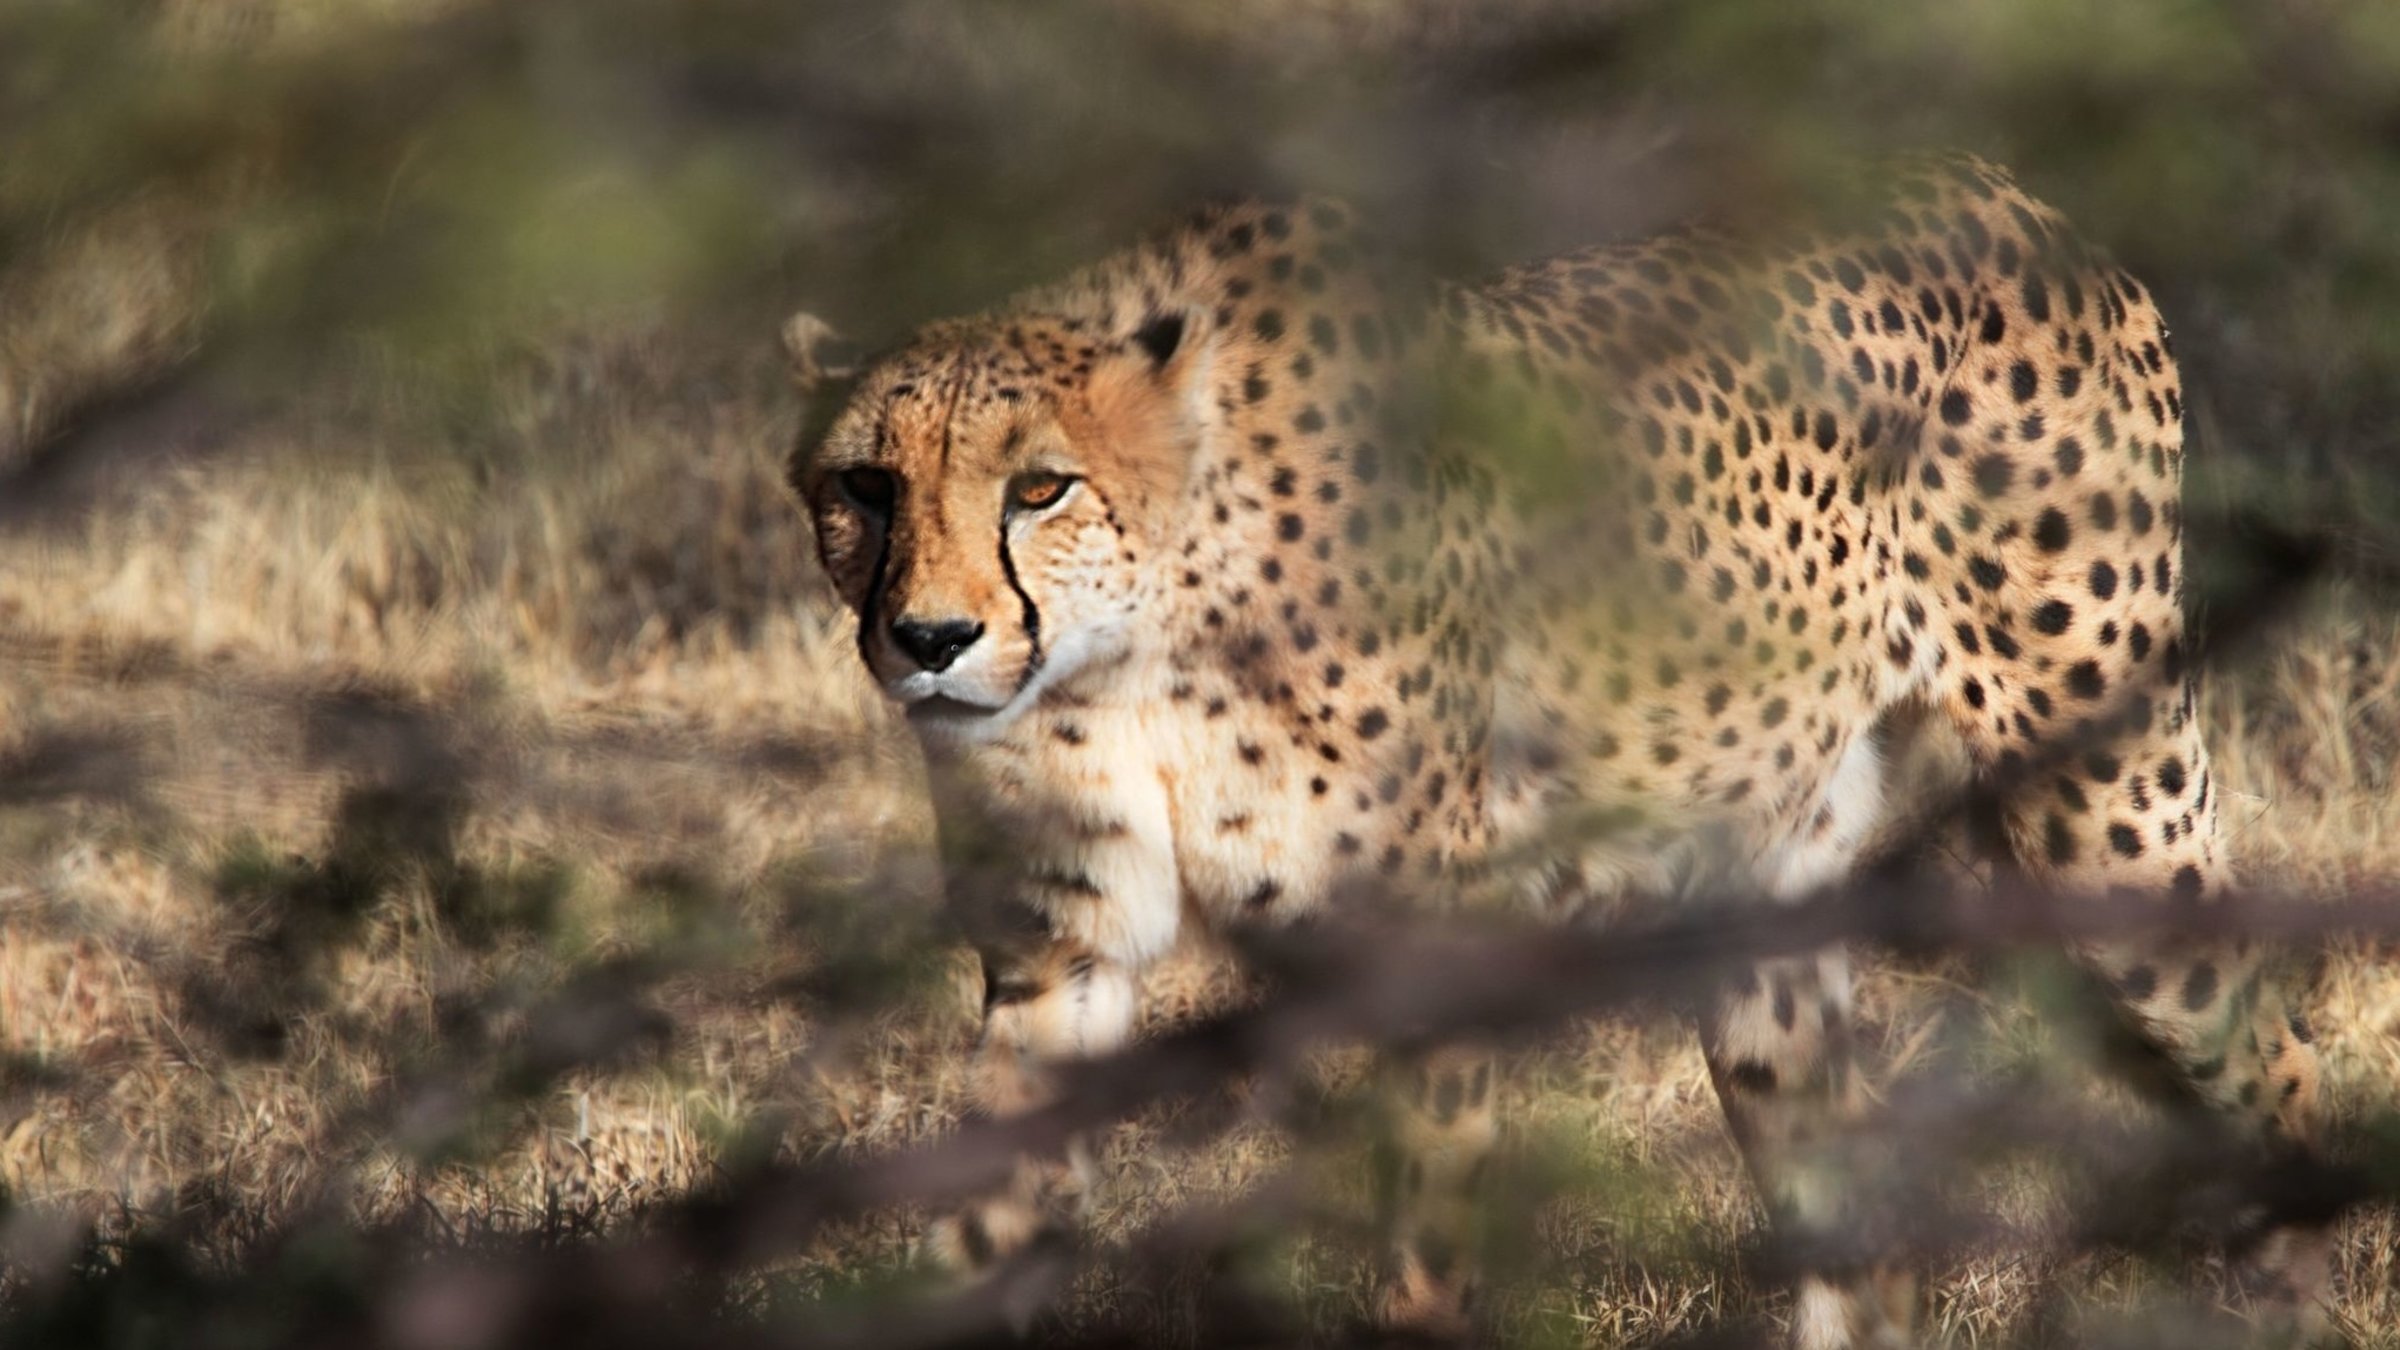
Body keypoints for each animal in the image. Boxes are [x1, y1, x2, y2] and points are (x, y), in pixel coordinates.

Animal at [783, 154, 2328, 1348]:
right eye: (865, 485)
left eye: (1040, 487)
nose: (929, 638)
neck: (1139, 646)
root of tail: (2016, 196)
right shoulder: (1061, 952)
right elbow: (984, 1226)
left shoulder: (1421, 965)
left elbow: (1418, 1284)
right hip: (1763, 900)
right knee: (1862, 1216)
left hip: (2101, 807)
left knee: (2278, 1063)